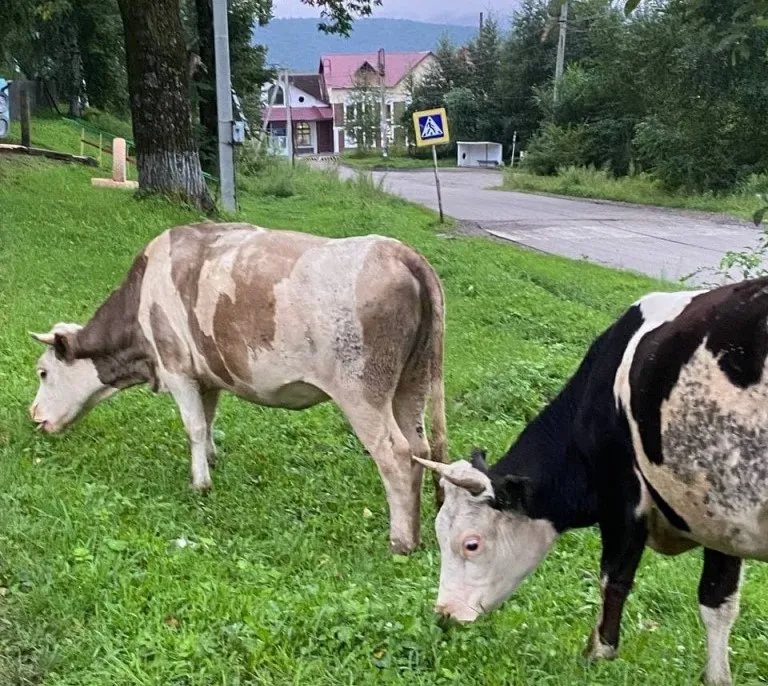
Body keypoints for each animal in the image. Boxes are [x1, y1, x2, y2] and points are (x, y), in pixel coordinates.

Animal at [31, 223, 444, 556]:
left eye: (43, 372)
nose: (34, 416)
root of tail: (398, 251)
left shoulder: (176, 367)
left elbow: (195, 426)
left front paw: (200, 483)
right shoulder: (207, 375)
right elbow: (209, 418)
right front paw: (212, 458)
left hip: (362, 392)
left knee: (395, 454)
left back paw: (401, 541)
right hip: (413, 380)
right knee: (420, 448)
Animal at [416, 280, 768, 686]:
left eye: (471, 544)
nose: (445, 613)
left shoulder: (624, 497)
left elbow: (614, 578)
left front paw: (599, 652)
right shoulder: (718, 516)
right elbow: (717, 601)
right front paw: (717, 676)